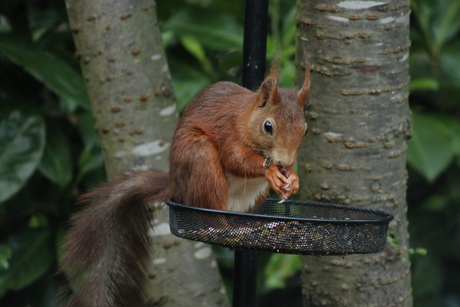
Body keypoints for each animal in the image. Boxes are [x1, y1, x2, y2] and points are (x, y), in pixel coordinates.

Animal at [61, 65, 310, 307]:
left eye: (305, 129)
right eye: (268, 126)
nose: (286, 161)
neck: (246, 117)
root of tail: (176, 186)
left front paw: (292, 178)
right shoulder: (228, 130)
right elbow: (235, 158)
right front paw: (270, 171)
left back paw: (258, 225)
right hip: (199, 155)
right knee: (215, 223)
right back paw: (236, 228)